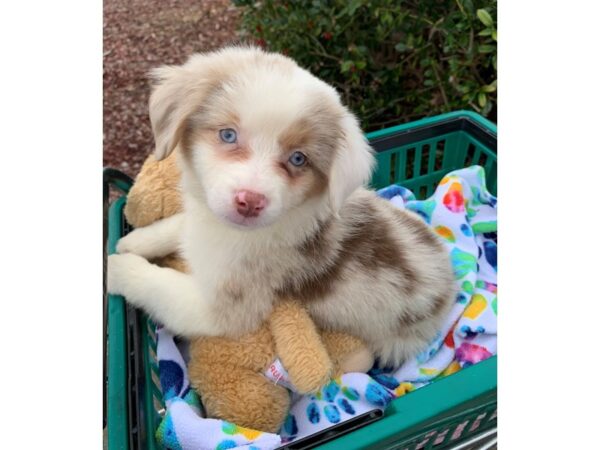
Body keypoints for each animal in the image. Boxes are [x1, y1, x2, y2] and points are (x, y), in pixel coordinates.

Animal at [108, 46, 454, 370]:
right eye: (228, 134)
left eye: (298, 158)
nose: (249, 202)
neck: (227, 232)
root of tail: (448, 285)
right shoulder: (203, 213)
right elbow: (177, 224)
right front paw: (134, 241)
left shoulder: (223, 309)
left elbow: (158, 285)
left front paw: (116, 267)